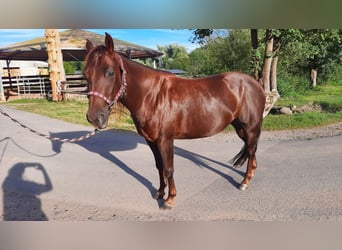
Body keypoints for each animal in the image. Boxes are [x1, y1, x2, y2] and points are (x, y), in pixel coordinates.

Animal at [84, 33, 266, 209]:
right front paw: (159, 193)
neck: (151, 96)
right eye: (86, 74)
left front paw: (169, 199)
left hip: (250, 127)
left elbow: (169, 168)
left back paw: (244, 182)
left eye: (110, 72)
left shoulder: (165, 140)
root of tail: (256, 84)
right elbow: (159, 167)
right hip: (240, 127)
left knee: (251, 150)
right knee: (251, 150)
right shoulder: (151, 140)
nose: (94, 117)